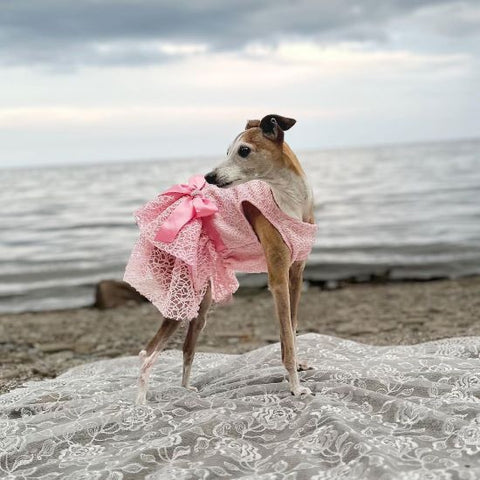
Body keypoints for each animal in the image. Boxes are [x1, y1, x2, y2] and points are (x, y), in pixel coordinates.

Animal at [135, 112, 316, 402]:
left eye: (244, 151)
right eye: (227, 151)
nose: (208, 177)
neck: (289, 200)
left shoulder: (295, 274)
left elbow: (291, 327)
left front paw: (297, 368)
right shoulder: (277, 279)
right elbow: (287, 336)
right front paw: (296, 387)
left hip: (202, 303)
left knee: (187, 347)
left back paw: (186, 390)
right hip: (182, 300)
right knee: (148, 353)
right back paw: (141, 405)